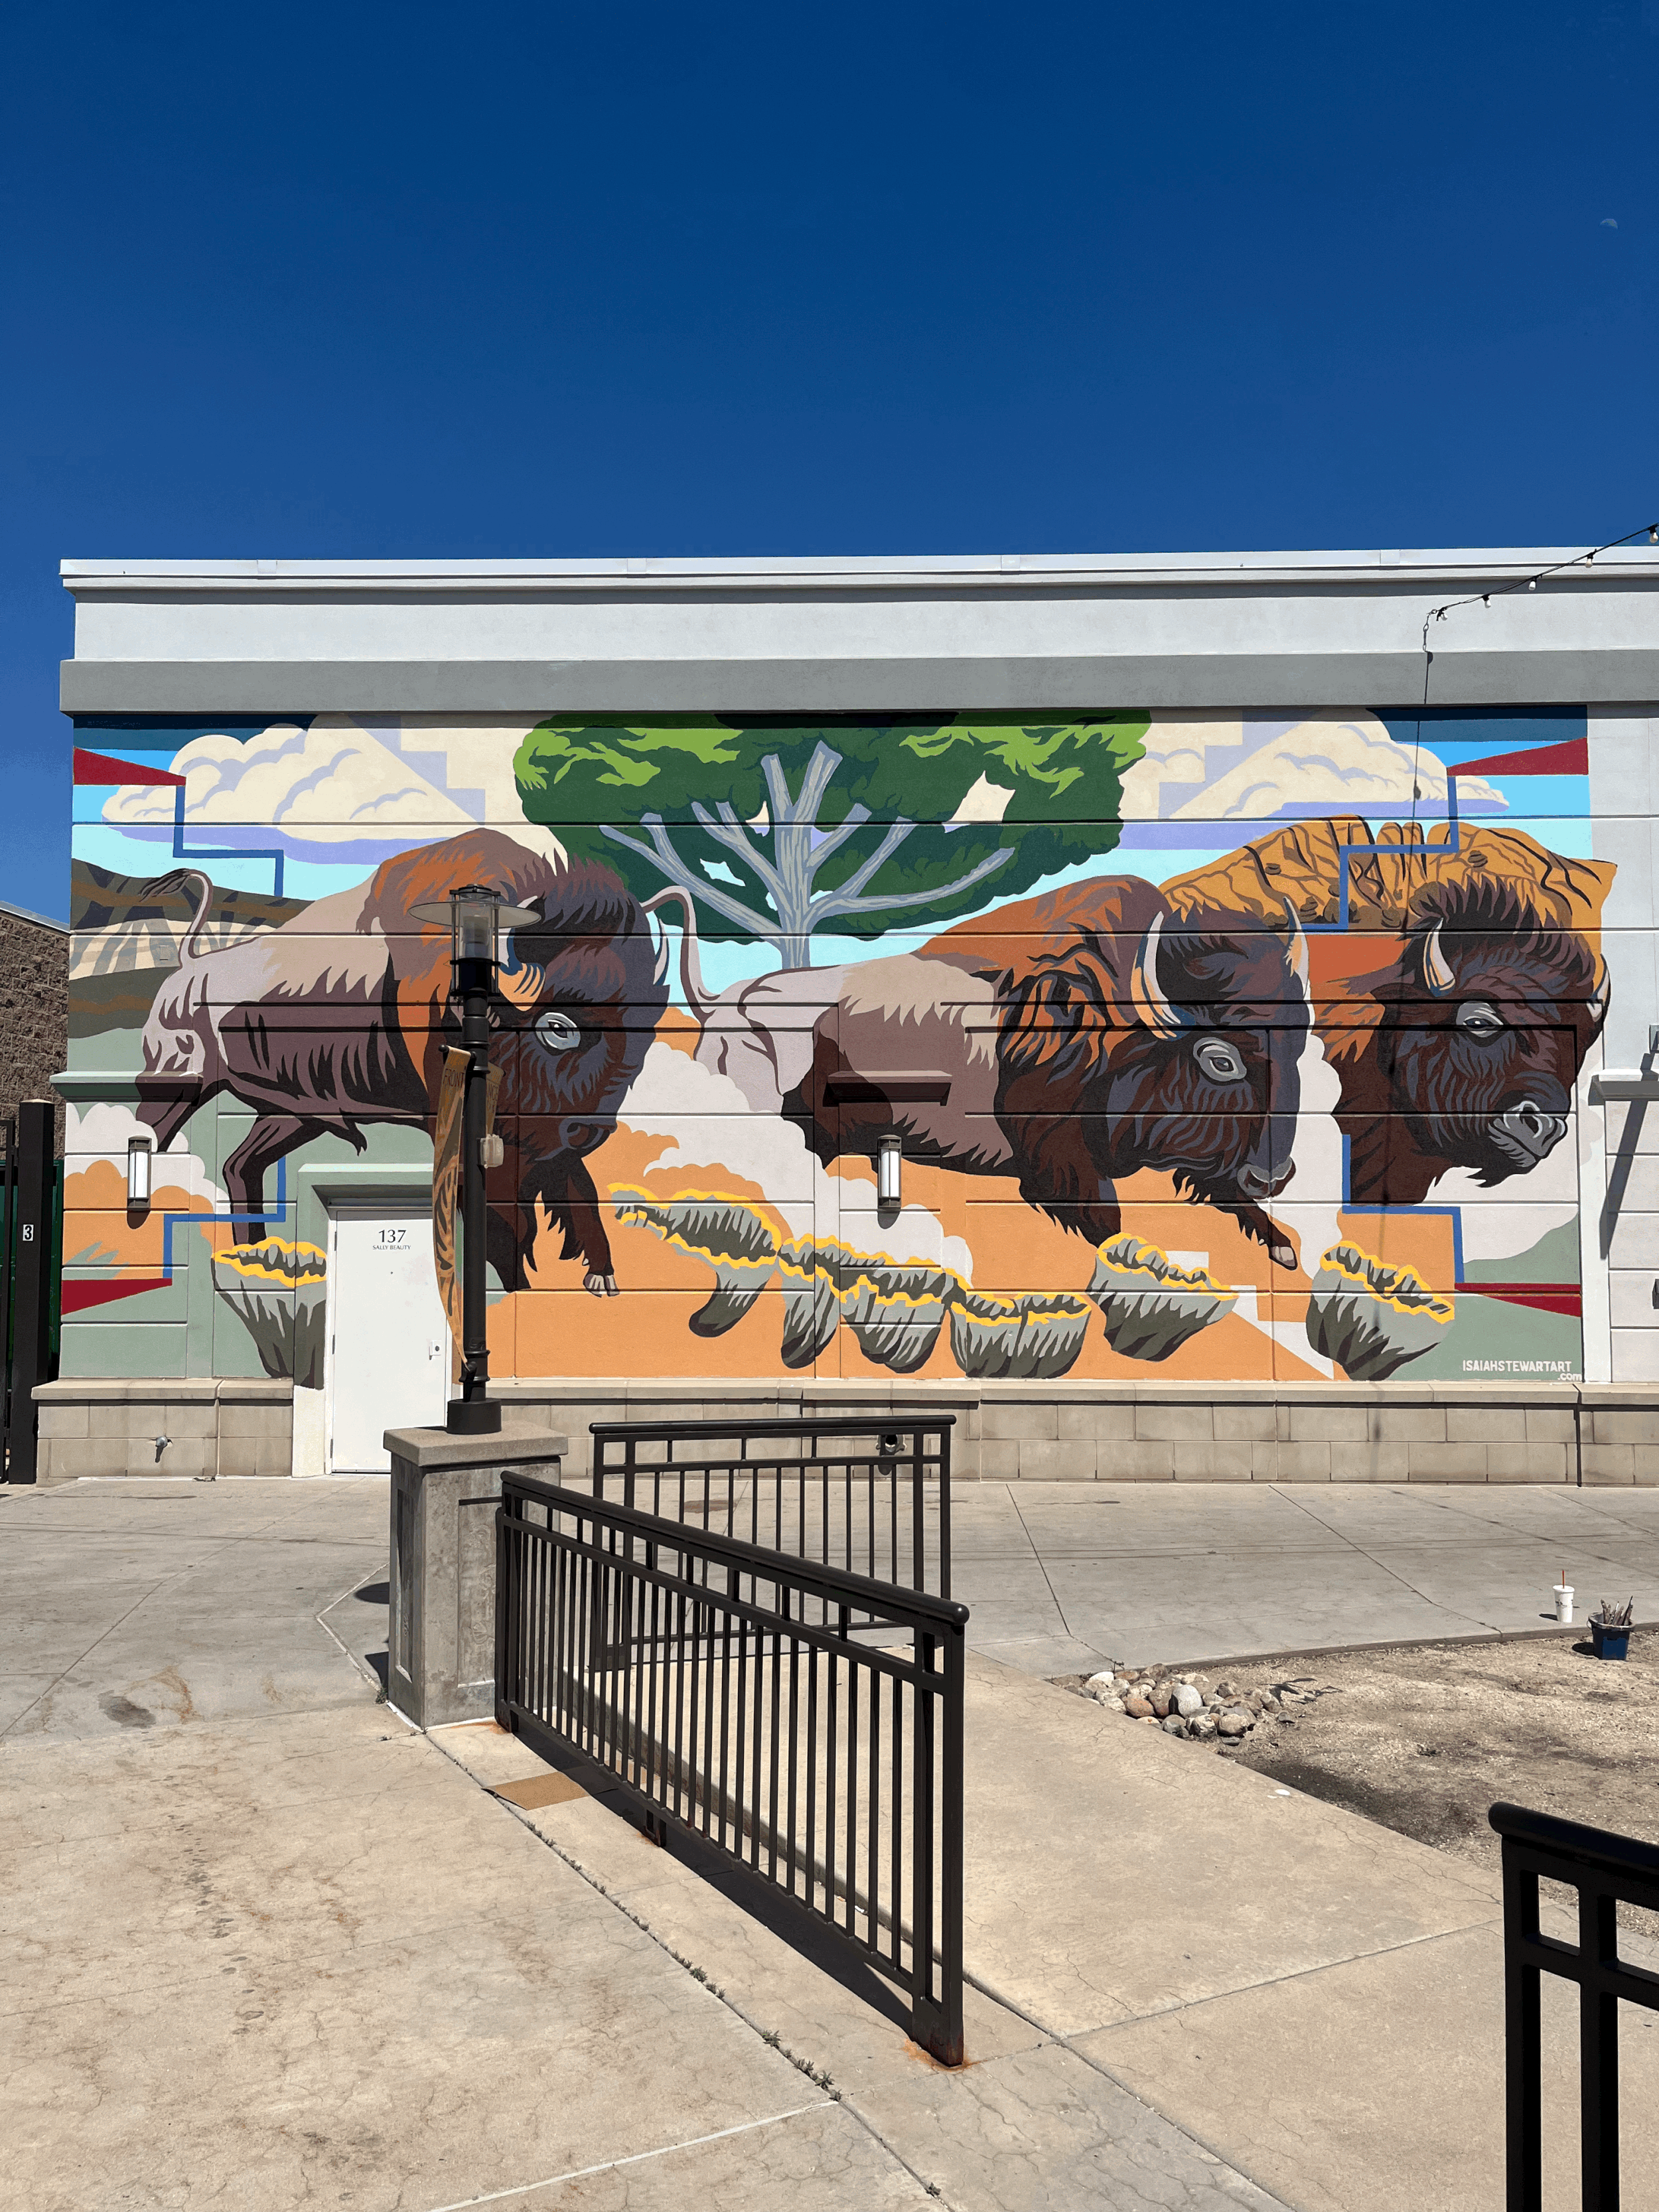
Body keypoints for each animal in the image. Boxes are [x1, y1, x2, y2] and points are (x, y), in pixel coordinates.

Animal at [136, 832, 668, 1291]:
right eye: (559, 1027)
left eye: (646, 1023)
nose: (593, 1129)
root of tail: (188, 967)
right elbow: (506, 1227)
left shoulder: (545, 1143)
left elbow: (579, 1191)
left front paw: (601, 1276)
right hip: (176, 1083)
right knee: (153, 1136)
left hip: (291, 1115)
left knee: (240, 1163)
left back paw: (252, 1253)